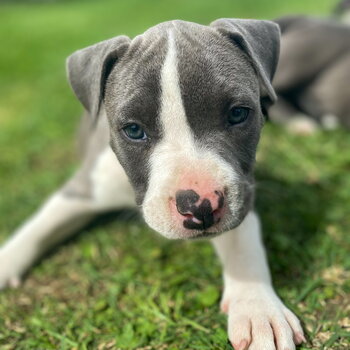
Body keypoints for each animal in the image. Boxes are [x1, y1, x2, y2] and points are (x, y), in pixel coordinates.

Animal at [0, 19, 306, 350]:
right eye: (133, 130)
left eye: (238, 113)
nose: (199, 206)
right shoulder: (83, 189)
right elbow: (37, 228)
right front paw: (6, 261)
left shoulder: (241, 191)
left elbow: (242, 242)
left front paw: (258, 309)